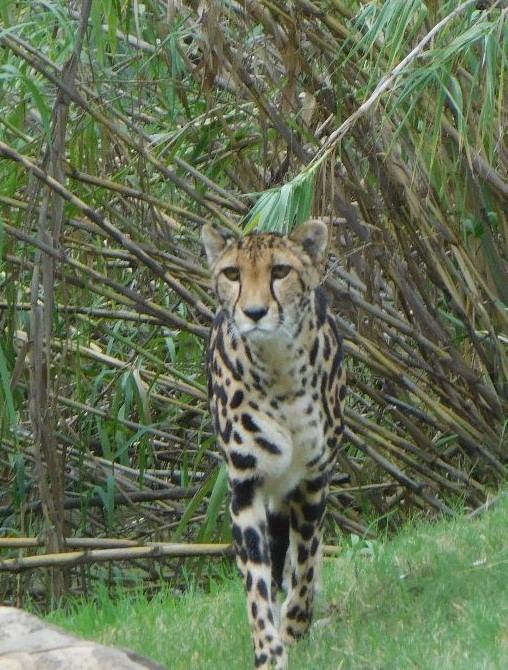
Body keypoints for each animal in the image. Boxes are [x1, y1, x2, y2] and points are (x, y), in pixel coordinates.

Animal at [202, 219, 346, 670]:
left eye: (280, 271)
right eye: (232, 273)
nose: (254, 313)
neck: (278, 366)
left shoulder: (313, 480)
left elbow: (304, 566)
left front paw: (295, 629)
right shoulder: (245, 488)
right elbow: (256, 585)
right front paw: (268, 650)